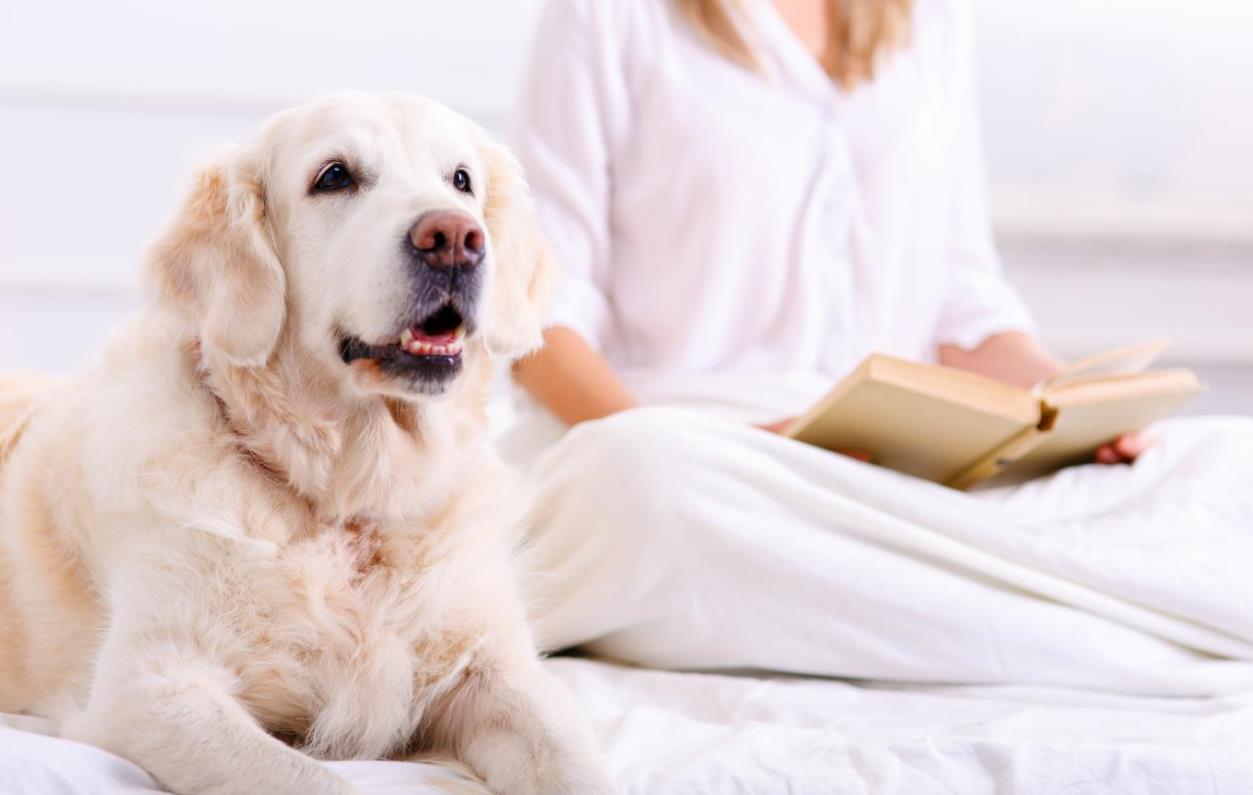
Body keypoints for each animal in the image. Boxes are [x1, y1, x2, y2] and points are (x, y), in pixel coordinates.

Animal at [0, 92, 611, 792]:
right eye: (335, 176)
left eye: (461, 180)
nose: (456, 239)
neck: (348, 506)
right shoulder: (149, 687)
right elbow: (310, 777)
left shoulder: (493, 669)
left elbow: (573, 763)